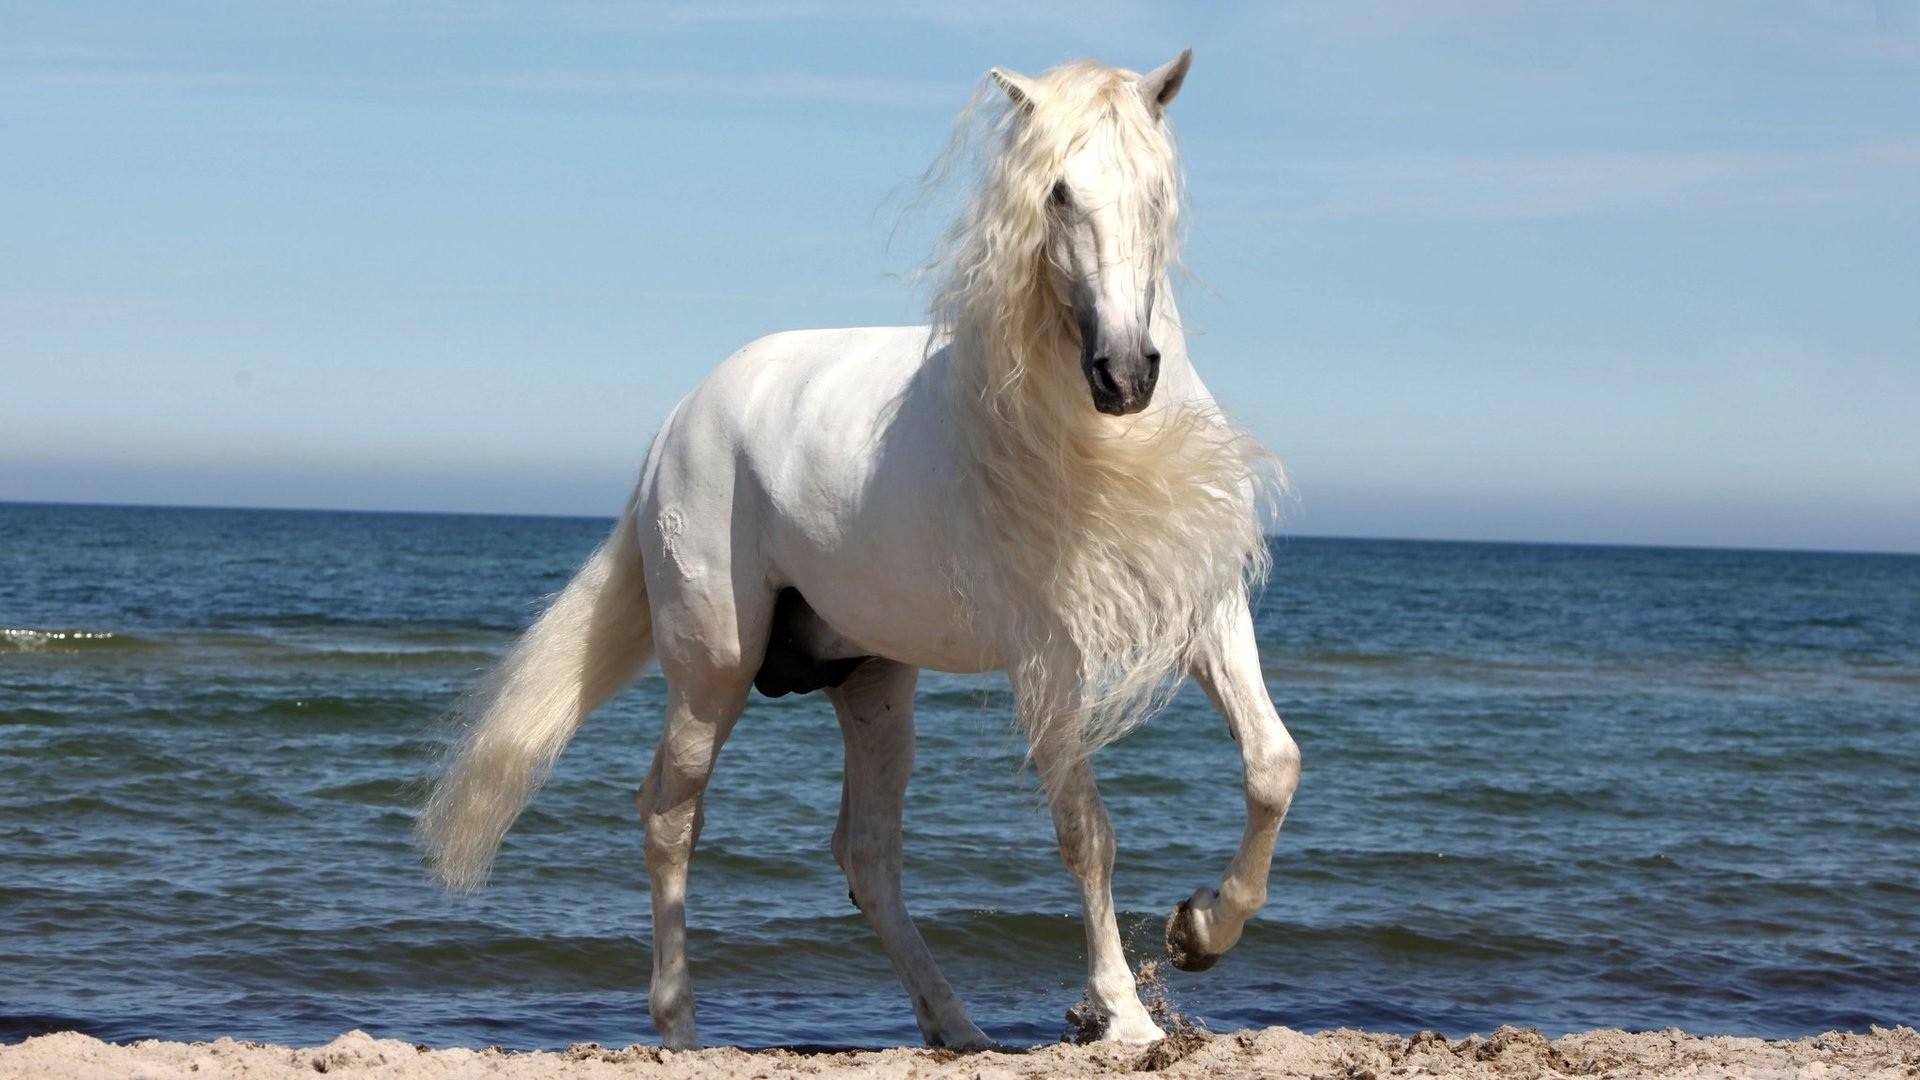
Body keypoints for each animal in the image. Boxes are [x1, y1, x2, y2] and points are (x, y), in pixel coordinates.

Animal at [416, 50, 1301, 1051]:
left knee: (866, 855)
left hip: (872, 682)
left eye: (1157, 192)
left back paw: (957, 1027)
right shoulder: (1046, 656)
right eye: (1058, 193)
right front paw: (1124, 1015)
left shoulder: (1206, 610)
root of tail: (684, 414)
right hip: (715, 669)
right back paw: (681, 1027)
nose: (1123, 375)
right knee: (671, 815)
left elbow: (1273, 764)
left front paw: (1200, 931)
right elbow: (1086, 829)